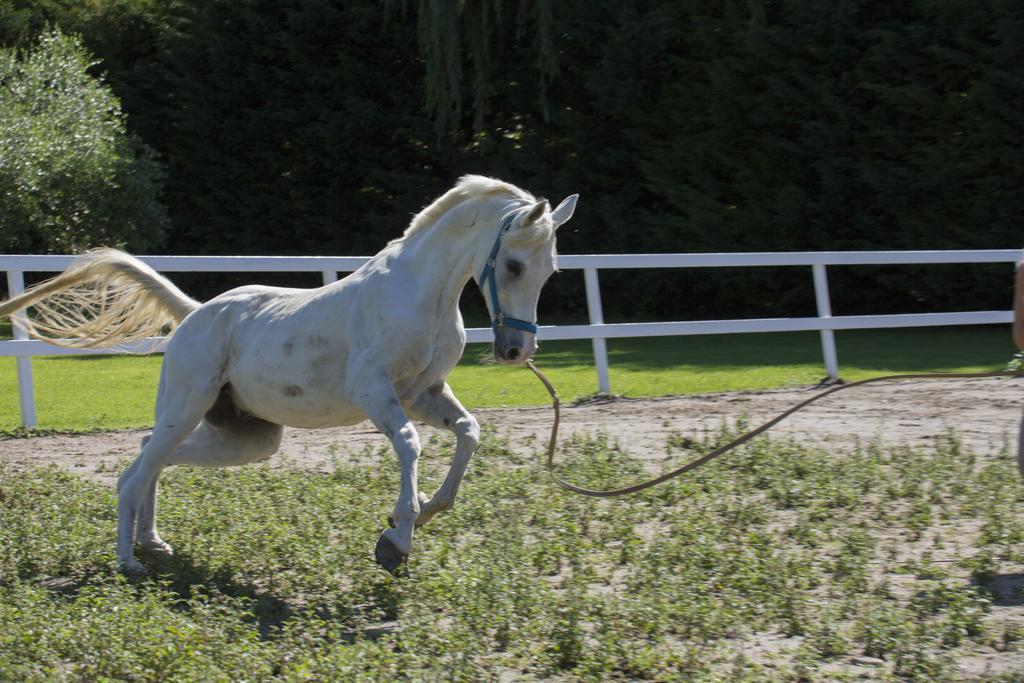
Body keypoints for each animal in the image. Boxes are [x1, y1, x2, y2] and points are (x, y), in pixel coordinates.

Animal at [0, 175, 577, 573]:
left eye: (551, 270)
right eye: (514, 266)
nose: (516, 349)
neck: (422, 296)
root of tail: (195, 314)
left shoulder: (424, 393)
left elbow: (468, 433)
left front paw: (425, 511)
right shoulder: (376, 391)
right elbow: (410, 445)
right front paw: (396, 539)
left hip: (245, 437)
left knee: (151, 457)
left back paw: (152, 542)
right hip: (187, 405)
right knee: (134, 472)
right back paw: (129, 562)